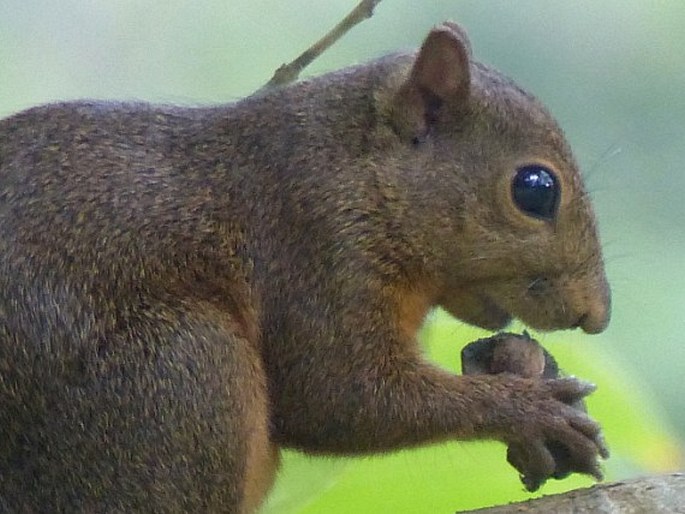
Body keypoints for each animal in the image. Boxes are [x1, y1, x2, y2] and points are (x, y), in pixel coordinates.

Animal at [0, 21, 608, 512]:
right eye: (535, 189)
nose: (596, 316)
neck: (356, 170)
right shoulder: (310, 243)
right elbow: (335, 395)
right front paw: (528, 409)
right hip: (179, 372)